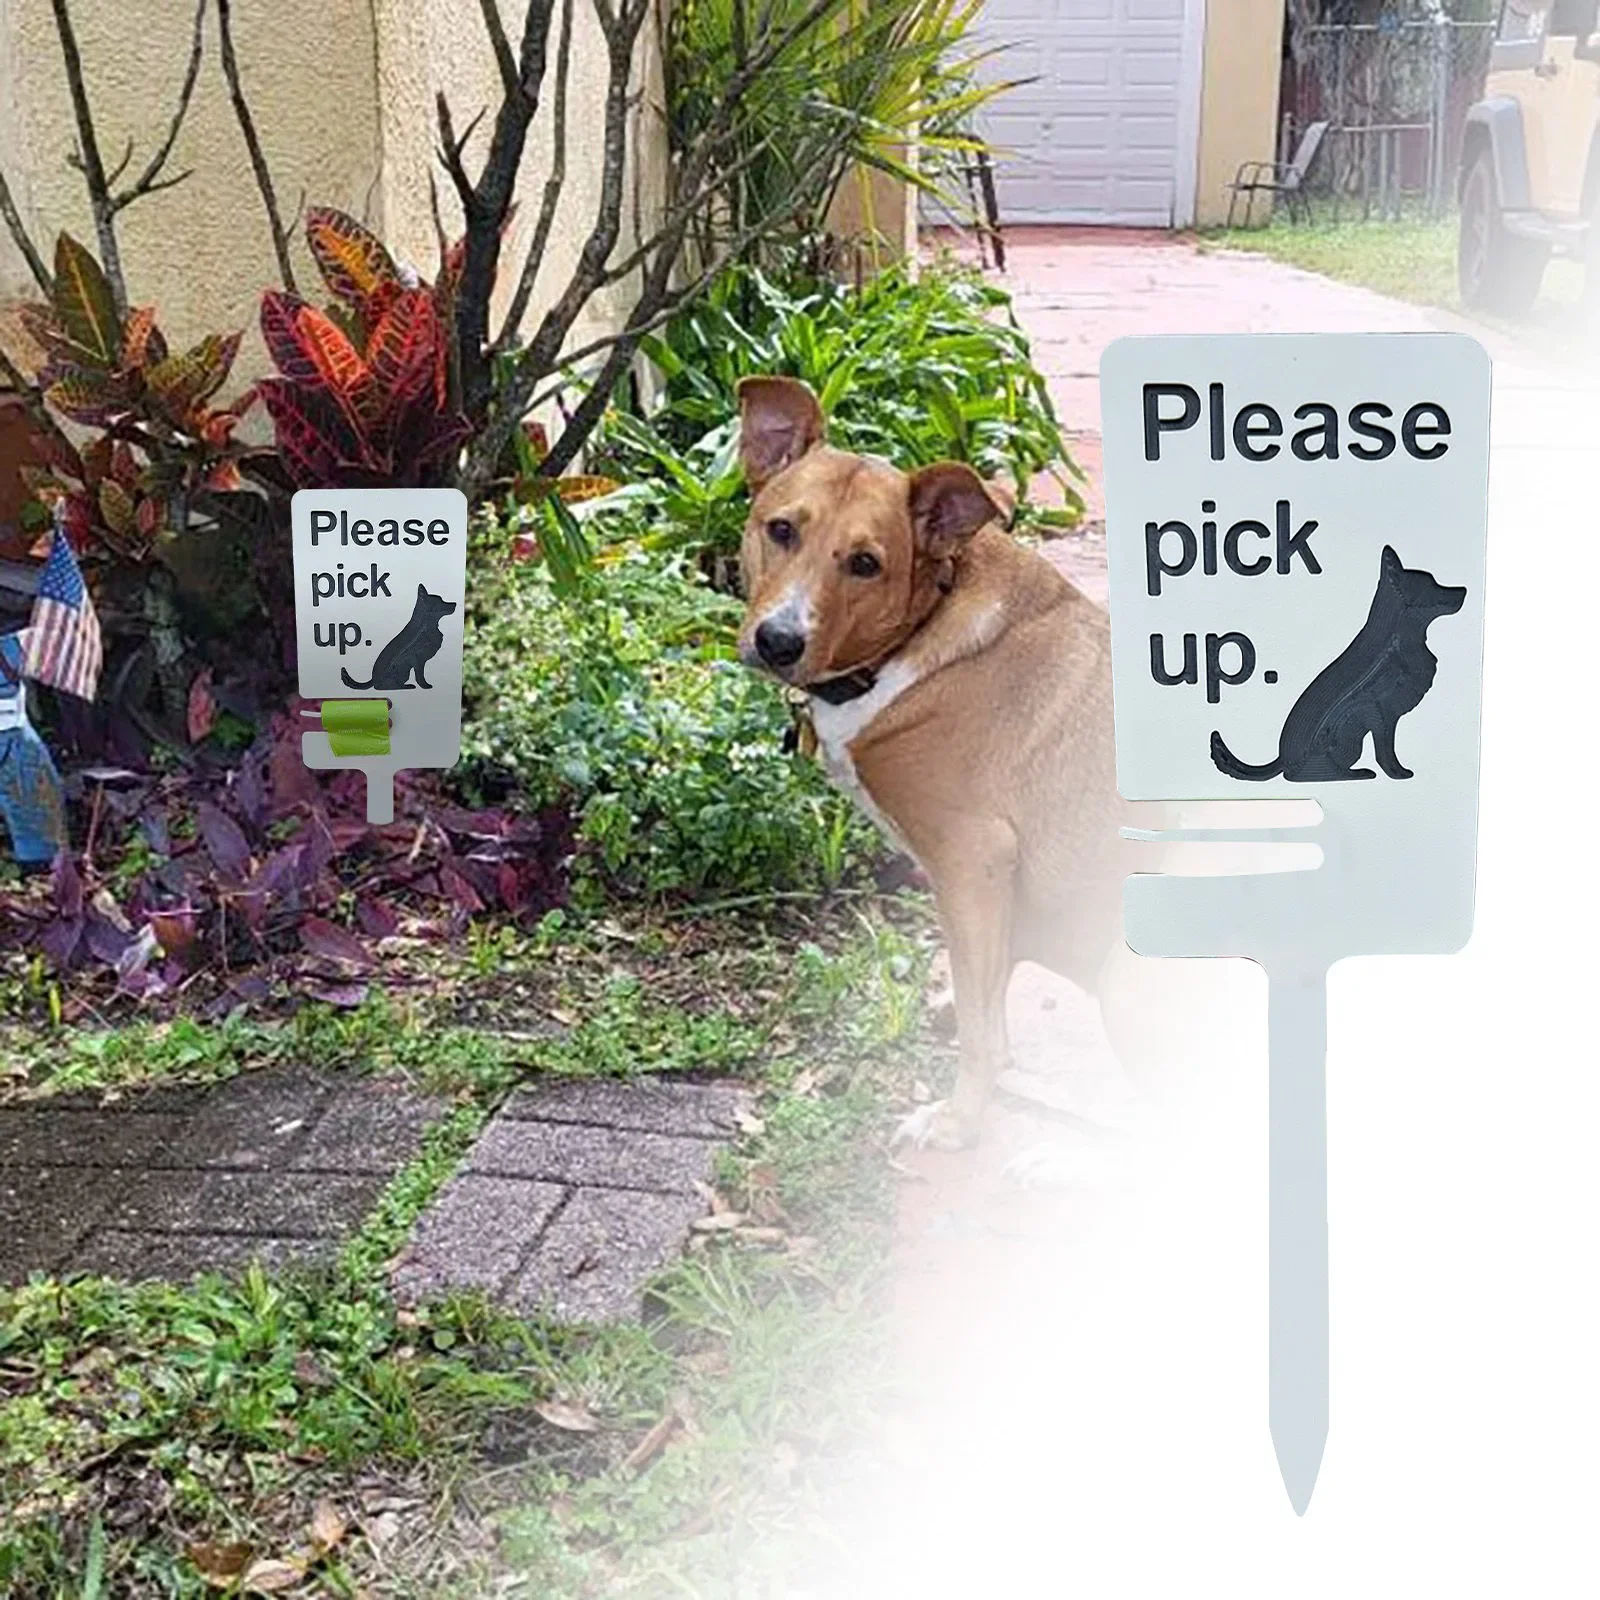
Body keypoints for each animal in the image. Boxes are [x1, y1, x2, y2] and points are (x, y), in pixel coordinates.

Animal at [736, 374, 1164, 1152]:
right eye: (781, 529)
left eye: (866, 563)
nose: (778, 641)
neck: (917, 633)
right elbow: (988, 1003)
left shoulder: (974, 862)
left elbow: (977, 1020)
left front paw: (961, 1119)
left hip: (1129, 976)